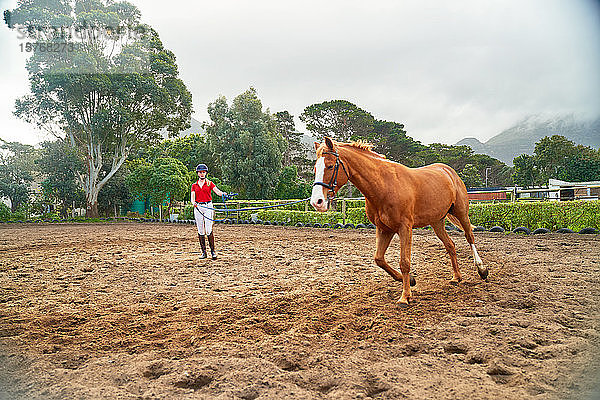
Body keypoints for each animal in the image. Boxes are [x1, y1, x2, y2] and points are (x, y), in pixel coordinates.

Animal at [310, 138, 488, 306]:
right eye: (315, 168)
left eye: (330, 166)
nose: (317, 202)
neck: (383, 186)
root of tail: (448, 171)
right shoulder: (384, 229)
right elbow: (379, 259)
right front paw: (410, 280)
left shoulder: (405, 228)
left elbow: (404, 262)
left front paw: (405, 297)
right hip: (437, 222)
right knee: (450, 245)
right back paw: (457, 277)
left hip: (461, 213)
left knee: (470, 237)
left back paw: (482, 269)